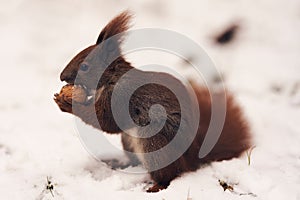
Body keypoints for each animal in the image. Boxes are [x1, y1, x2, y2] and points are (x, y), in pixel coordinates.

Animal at [54, 10, 251, 192]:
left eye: (84, 66)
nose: (62, 76)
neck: (113, 78)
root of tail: (192, 159)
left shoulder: (121, 97)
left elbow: (105, 122)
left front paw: (67, 103)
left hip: (153, 142)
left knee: (171, 174)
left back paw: (155, 186)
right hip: (129, 141)